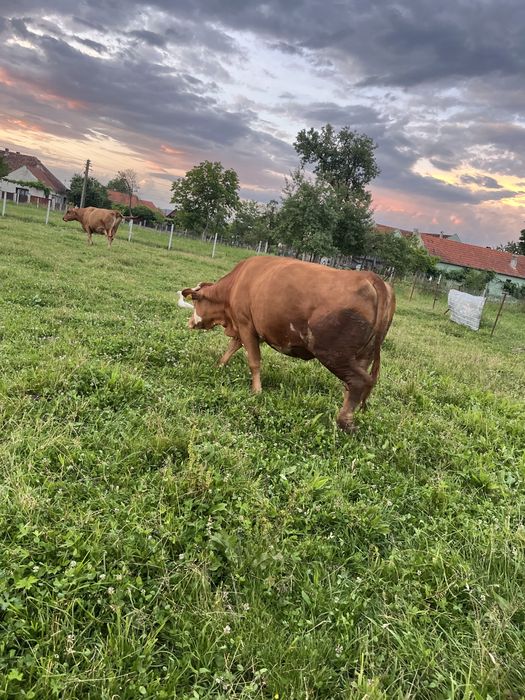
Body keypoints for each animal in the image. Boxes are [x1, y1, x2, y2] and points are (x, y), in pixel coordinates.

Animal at [179, 256, 395, 431]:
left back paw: (344, 422)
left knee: (358, 381)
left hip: (334, 353)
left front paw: (256, 391)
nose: (189, 322)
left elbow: (254, 361)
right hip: (363, 355)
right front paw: (219, 366)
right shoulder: (245, 329)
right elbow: (231, 349)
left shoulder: (246, 325)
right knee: (353, 386)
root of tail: (369, 276)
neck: (236, 284)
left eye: (196, 302)